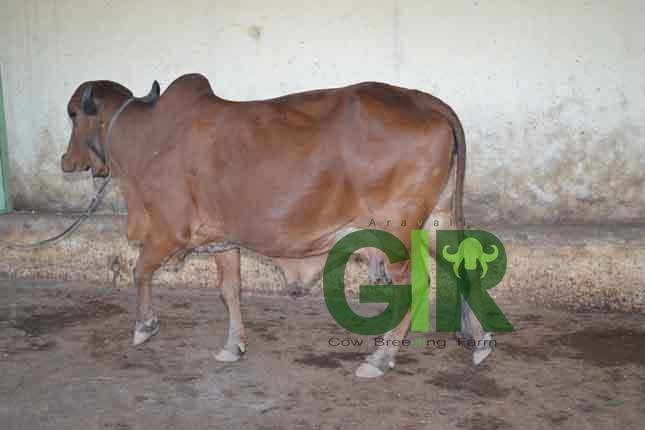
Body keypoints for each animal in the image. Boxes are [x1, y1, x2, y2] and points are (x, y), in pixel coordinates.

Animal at [61, 74, 491, 378]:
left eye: (73, 113)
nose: (67, 161)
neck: (145, 136)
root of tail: (423, 100)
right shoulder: (223, 240)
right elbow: (230, 291)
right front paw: (233, 346)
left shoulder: (170, 231)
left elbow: (139, 270)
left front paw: (144, 326)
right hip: (434, 220)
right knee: (461, 264)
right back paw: (481, 341)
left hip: (395, 231)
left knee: (414, 284)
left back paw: (380, 358)